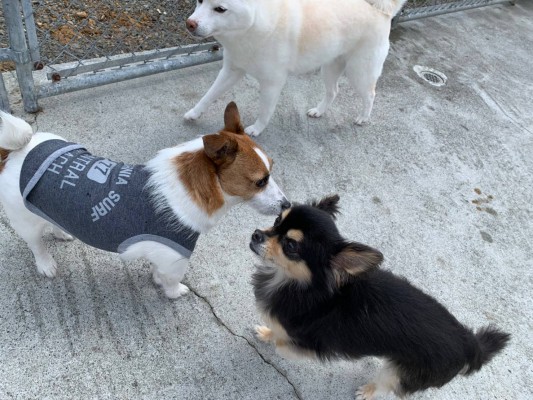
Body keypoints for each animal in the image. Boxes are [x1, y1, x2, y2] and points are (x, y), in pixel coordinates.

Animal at [0, 102, 288, 296]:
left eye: (272, 169)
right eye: (260, 181)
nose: (287, 205)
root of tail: (19, 149)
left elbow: (158, 271)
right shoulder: (176, 258)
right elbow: (171, 280)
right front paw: (174, 292)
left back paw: (61, 232)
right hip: (25, 223)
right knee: (36, 244)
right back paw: (46, 264)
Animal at [185, 0, 406, 136]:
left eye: (220, 9)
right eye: (200, 1)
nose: (190, 24)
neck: (252, 27)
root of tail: (381, 11)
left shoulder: (272, 84)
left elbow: (264, 111)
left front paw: (256, 129)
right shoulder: (231, 71)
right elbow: (208, 95)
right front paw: (194, 113)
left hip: (359, 73)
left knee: (370, 95)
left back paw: (363, 118)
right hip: (329, 68)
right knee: (333, 92)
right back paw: (319, 111)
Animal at [248, 194, 508, 396]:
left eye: (290, 246)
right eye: (277, 220)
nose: (256, 234)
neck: (297, 284)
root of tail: (469, 343)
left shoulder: (311, 344)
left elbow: (284, 344)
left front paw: (276, 341)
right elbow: (276, 331)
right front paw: (267, 333)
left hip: (400, 373)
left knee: (389, 386)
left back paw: (369, 391)